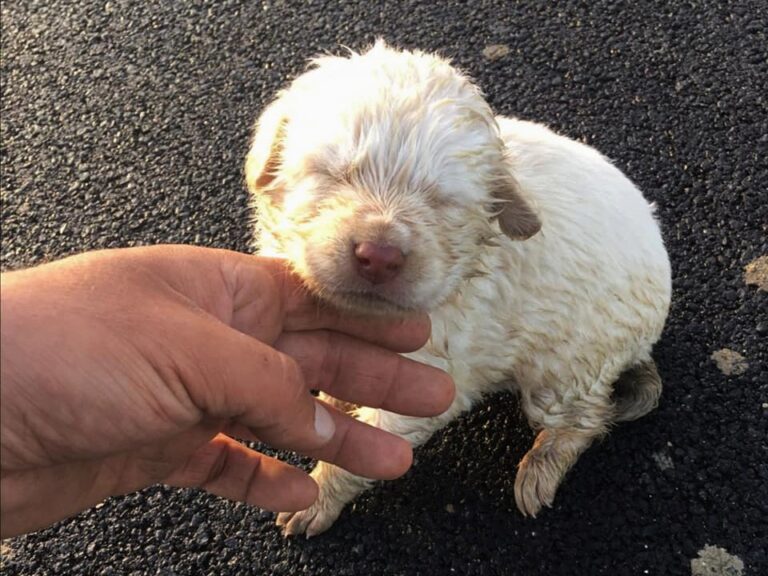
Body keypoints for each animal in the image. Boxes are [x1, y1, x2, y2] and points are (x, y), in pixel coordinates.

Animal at [246, 40, 672, 536]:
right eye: (331, 174)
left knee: (586, 419)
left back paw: (540, 468)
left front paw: (316, 496)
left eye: (441, 201)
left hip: (566, 368)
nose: (379, 255)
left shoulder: (428, 379)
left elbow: (360, 450)